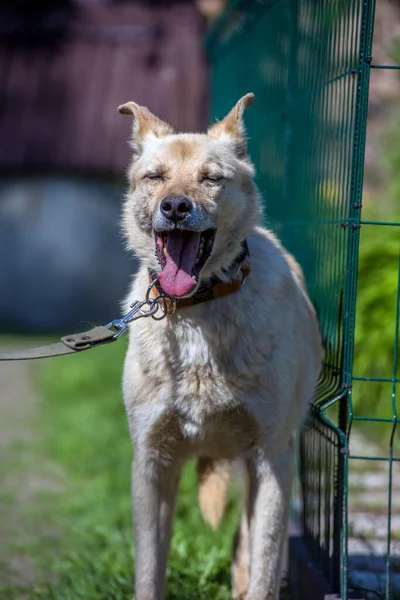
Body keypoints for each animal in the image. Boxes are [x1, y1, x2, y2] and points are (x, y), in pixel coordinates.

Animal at [119, 94, 322, 600]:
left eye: (211, 178)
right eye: (155, 177)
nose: (175, 206)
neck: (197, 310)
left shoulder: (270, 459)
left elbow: (264, 565)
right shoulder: (152, 463)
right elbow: (149, 569)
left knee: (251, 547)